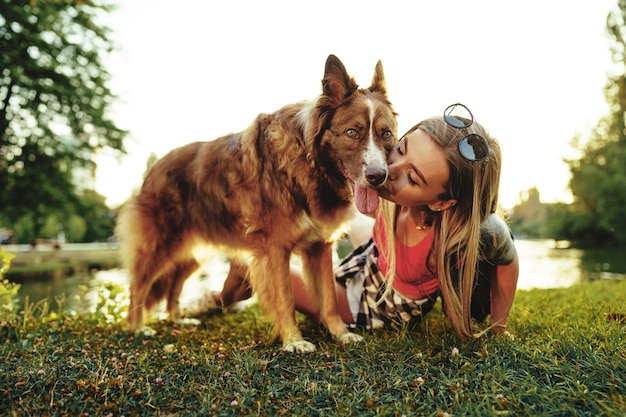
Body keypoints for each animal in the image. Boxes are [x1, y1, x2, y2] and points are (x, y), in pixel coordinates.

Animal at [115, 54, 398, 352]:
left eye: (386, 134)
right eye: (352, 132)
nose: (378, 176)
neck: (309, 162)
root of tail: (154, 169)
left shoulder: (321, 246)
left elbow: (329, 298)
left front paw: (340, 333)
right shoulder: (275, 248)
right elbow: (284, 296)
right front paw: (294, 340)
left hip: (192, 251)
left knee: (174, 284)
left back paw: (176, 318)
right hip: (160, 245)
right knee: (138, 286)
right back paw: (138, 327)